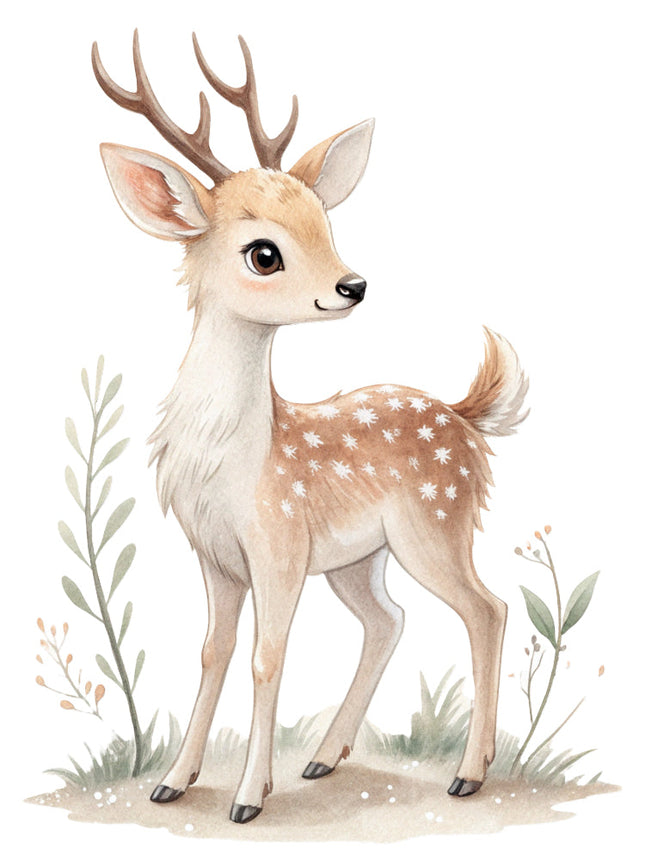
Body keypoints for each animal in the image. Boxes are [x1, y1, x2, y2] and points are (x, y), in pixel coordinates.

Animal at [91, 31, 528, 824]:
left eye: (326, 226)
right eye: (264, 252)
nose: (353, 285)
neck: (233, 465)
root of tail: (460, 413)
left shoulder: (279, 545)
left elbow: (268, 657)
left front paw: (246, 799)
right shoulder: (215, 555)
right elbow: (214, 652)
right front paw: (174, 781)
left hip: (435, 524)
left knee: (488, 608)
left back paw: (468, 774)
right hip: (362, 558)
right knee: (389, 619)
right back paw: (325, 757)